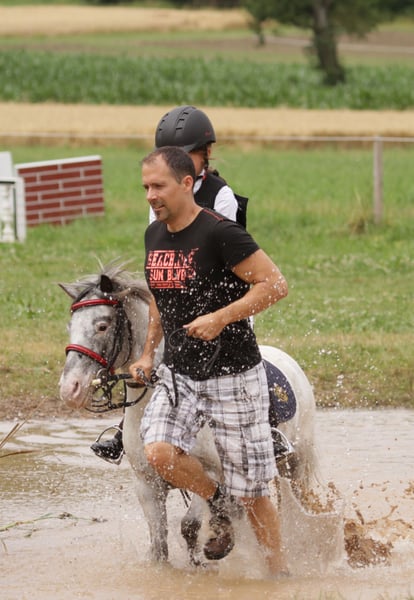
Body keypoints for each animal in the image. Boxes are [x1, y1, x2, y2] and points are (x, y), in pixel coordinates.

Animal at [58, 261, 319, 568]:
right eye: (70, 327)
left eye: (102, 325)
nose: (69, 389)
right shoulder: (147, 484)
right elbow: (159, 542)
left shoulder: (209, 473)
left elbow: (191, 525)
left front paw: (209, 557)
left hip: (296, 464)